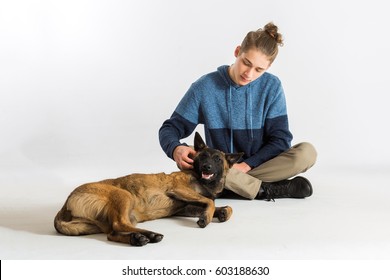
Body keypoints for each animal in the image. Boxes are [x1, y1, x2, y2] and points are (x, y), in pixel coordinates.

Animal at [53, 132, 242, 246]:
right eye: (202, 156)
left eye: (217, 159)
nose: (206, 167)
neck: (202, 181)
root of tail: (65, 205)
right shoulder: (178, 189)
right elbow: (209, 201)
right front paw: (208, 217)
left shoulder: (185, 207)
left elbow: (221, 206)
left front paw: (221, 212)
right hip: (124, 195)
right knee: (119, 223)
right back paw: (150, 234)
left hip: (121, 217)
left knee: (112, 232)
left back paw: (137, 238)